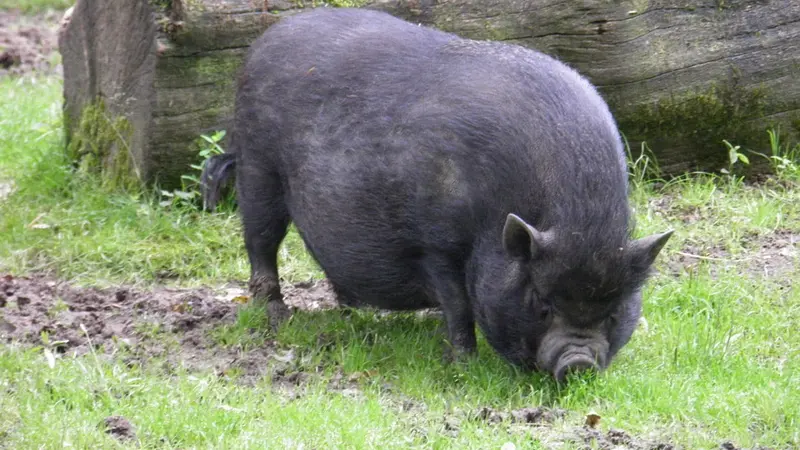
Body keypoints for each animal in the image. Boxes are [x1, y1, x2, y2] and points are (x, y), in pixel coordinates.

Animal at [206, 7, 673, 381]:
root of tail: (263, 41)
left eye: (614, 311)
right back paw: (276, 317)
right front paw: (463, 363)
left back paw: (355, 312)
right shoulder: (436, 245)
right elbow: (459, 305)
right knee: (261, 241)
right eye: (541, 304)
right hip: (258, 166)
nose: (577, 362)